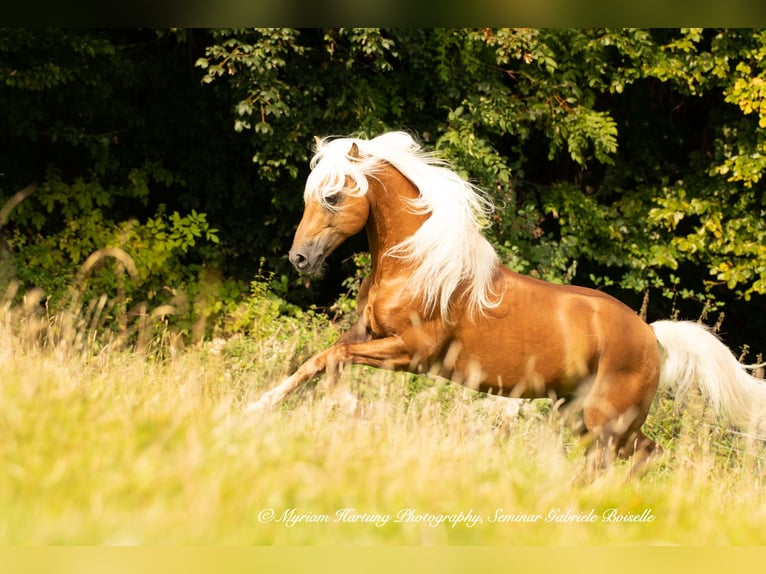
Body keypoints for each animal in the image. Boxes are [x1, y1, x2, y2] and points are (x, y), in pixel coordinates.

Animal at [248, 130, 766, 463]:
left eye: (334, 197)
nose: (299, 258)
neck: (418, 263)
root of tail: (651, 334)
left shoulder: (410, 353)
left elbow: (334, 363)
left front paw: (348, 407)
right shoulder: (367, 335)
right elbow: (318, 360)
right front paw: (258, 407)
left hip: (608, 419)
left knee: (631, 459)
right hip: (581, 415)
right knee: (638, 457)